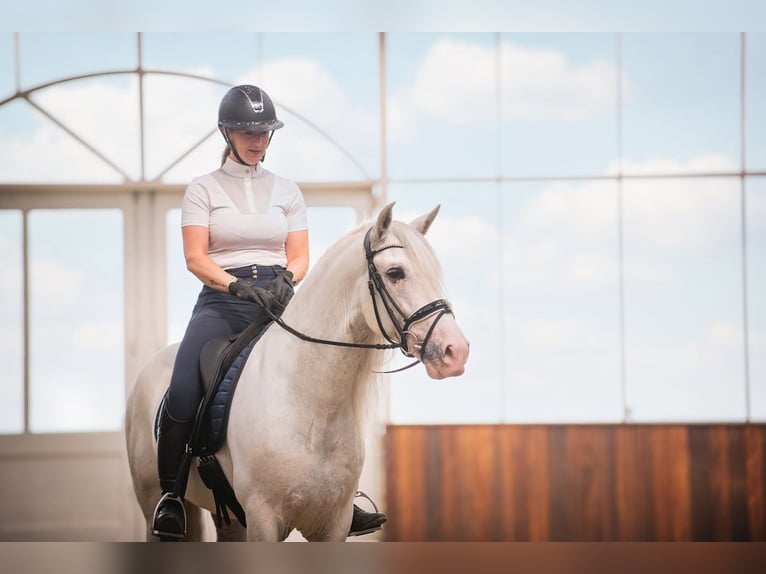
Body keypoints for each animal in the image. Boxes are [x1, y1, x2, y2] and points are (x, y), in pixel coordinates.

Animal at [126, 204, 472, 544]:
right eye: (395, 273)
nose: (456, 351)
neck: (312, 406)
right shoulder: (263, 518)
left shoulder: (334, 524)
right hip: (151, 501)